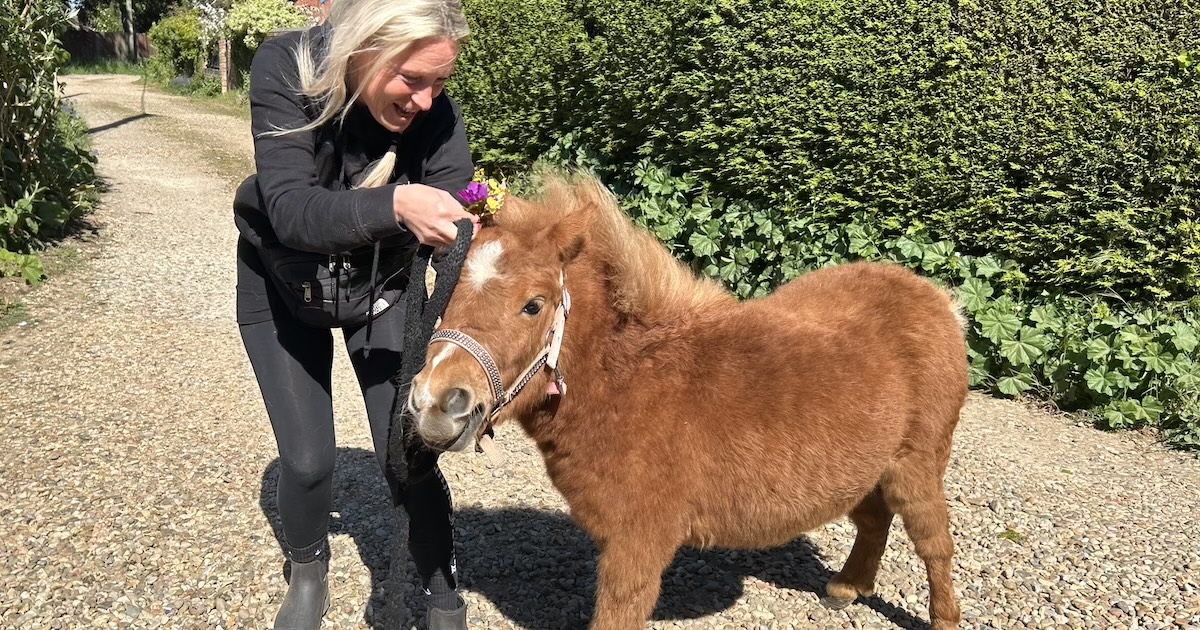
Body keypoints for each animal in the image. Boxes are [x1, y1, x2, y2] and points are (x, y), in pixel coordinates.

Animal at [407, 172, 969, 629]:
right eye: (444, 293)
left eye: (533, 305)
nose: (435, 402)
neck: (627, 379)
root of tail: (937, 299)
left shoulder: (636, 546)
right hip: (867, 466)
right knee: (875, 520)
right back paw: (848, 587)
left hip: (917, 465)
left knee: (935, 545)